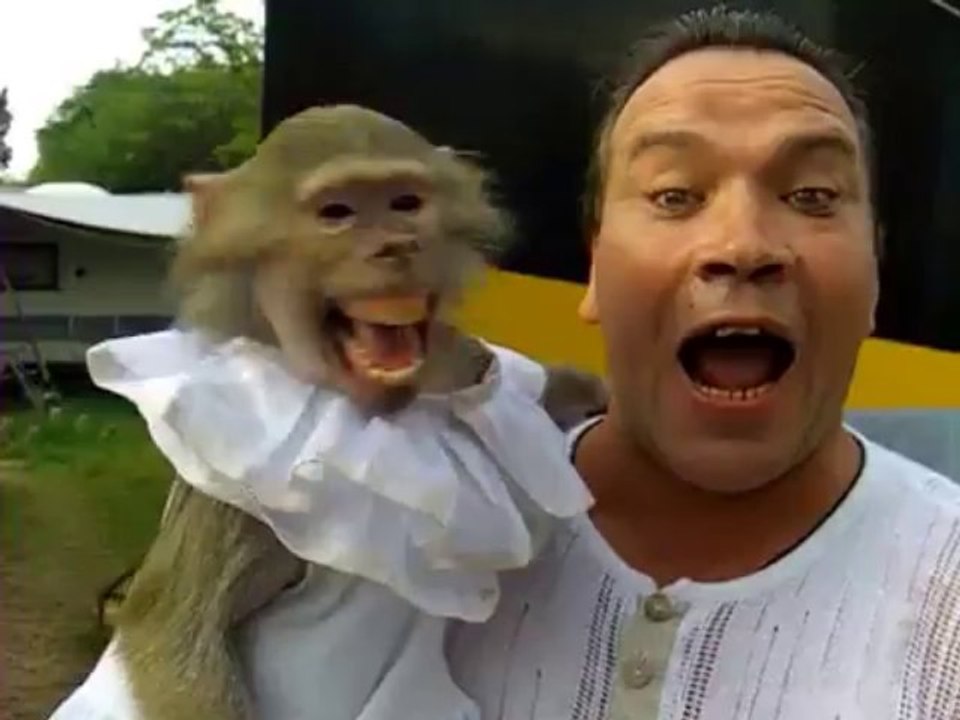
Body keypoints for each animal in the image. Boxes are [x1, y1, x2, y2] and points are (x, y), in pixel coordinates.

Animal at [64, 105, 608, 720]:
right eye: (337, 213)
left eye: (405, 204)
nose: (396, 245)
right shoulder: (235, 493)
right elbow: (171, 628)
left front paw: (582, 390)